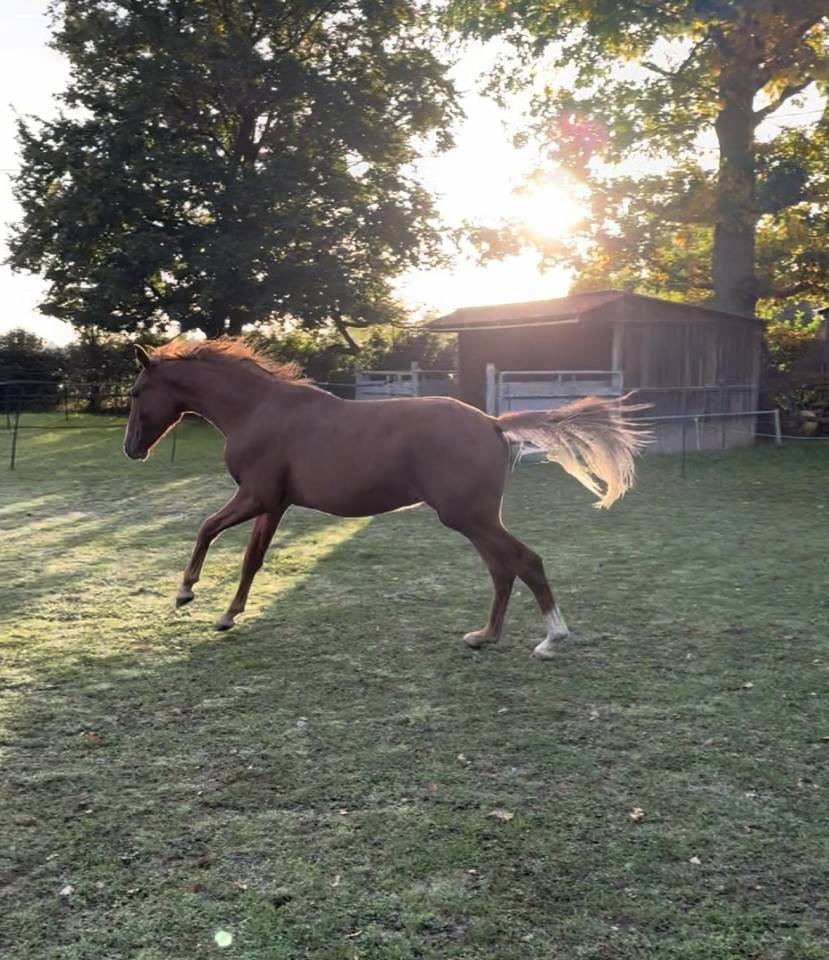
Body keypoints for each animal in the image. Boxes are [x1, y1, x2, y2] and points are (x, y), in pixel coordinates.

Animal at [123, 338, 648, 658]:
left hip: (469, 517)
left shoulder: (254, 496)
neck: (258, 411)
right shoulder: (272, 504)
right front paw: (228, 616)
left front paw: (186, 593)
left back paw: (551, 640)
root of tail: (492, 423)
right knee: (504, 569)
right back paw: (484, 637)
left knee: (525, 562)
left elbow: (206, 527)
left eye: (134, 392)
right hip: (473, 519)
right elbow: (252, 559)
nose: (131, 449)